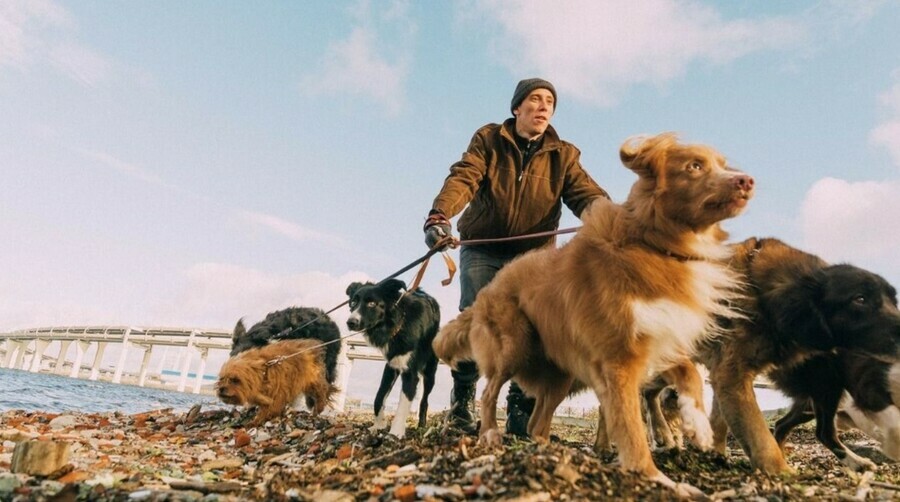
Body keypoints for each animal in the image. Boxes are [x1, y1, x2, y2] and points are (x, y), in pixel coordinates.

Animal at [434, 133, 752, 494]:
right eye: (694, 166)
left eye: (723, 165)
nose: (747, 181)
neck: (655, 243)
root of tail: (491, 287)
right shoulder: (619, 361)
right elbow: (631, 428)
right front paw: (656, 478)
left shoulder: (658, 338)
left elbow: (689, 373)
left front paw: (697, 424)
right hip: (513, 348)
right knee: (489, 393)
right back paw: (489, 433)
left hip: (560, 375)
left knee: (536, 423)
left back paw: (550, 452)